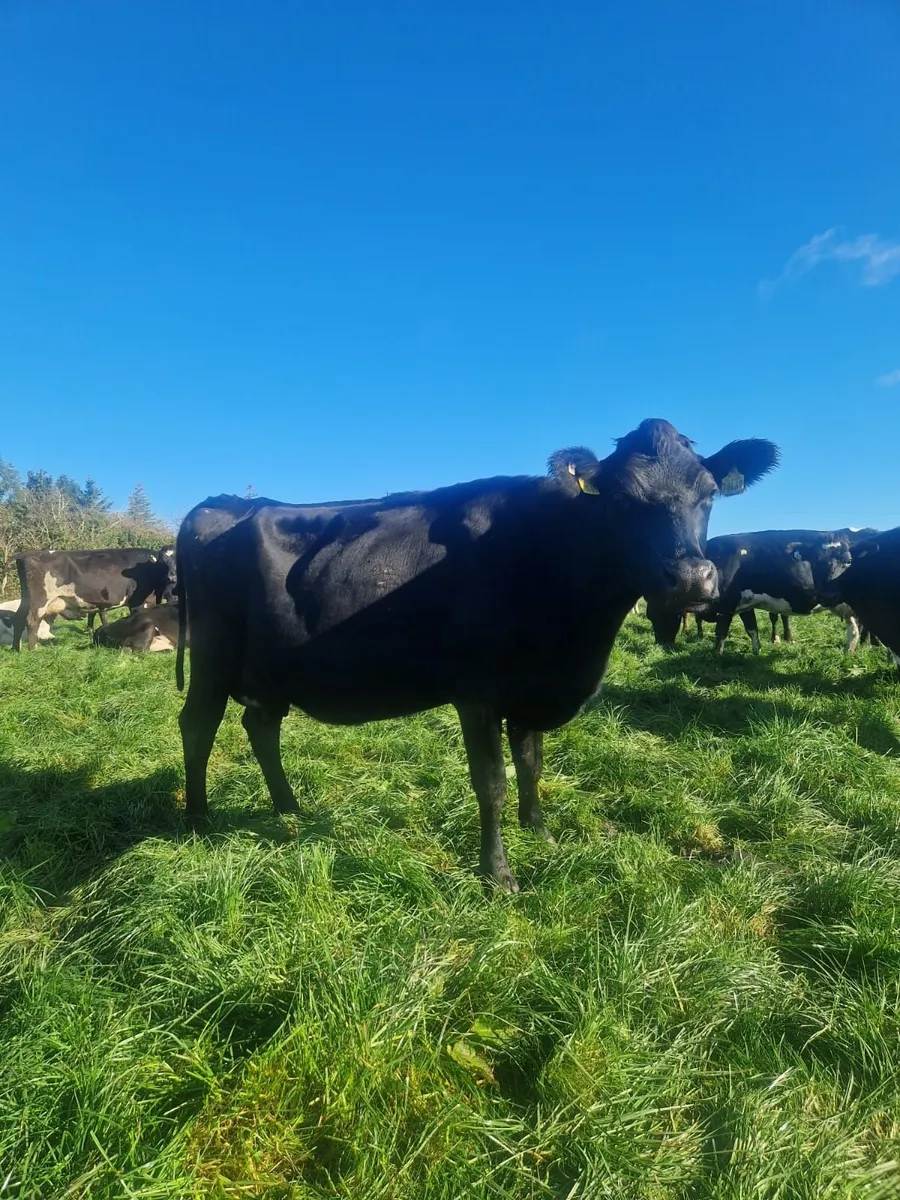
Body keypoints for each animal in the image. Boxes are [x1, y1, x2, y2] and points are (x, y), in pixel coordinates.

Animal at [13, 548, 175, 650]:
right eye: (164, 562)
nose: (172, 577)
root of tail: (26, 554)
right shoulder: (139, 602)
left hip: (27, 598)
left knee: (19, 617)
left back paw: (16, 648)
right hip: (40, 600)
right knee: (32, 620)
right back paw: (33, 649)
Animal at [175, 418, 778, 892]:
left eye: (707, 494)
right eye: (622, 499)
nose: (691, 578)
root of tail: (227, 503)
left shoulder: (532, 687)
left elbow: (532, 765)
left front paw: (540, 832)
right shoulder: (478, 692)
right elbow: (492, 783)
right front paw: (498, 874)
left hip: (273, 670)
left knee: (260, 726)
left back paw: (289, 808)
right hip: (212, 655)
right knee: (199, 724)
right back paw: (199, 820)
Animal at [648, 529, 852, 653]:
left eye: (653, 615)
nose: (659, 645)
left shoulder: (725, 605)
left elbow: (721, 632)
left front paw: (715, 655)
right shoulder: (744, 605)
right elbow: (751, 628)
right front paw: (757, 651)